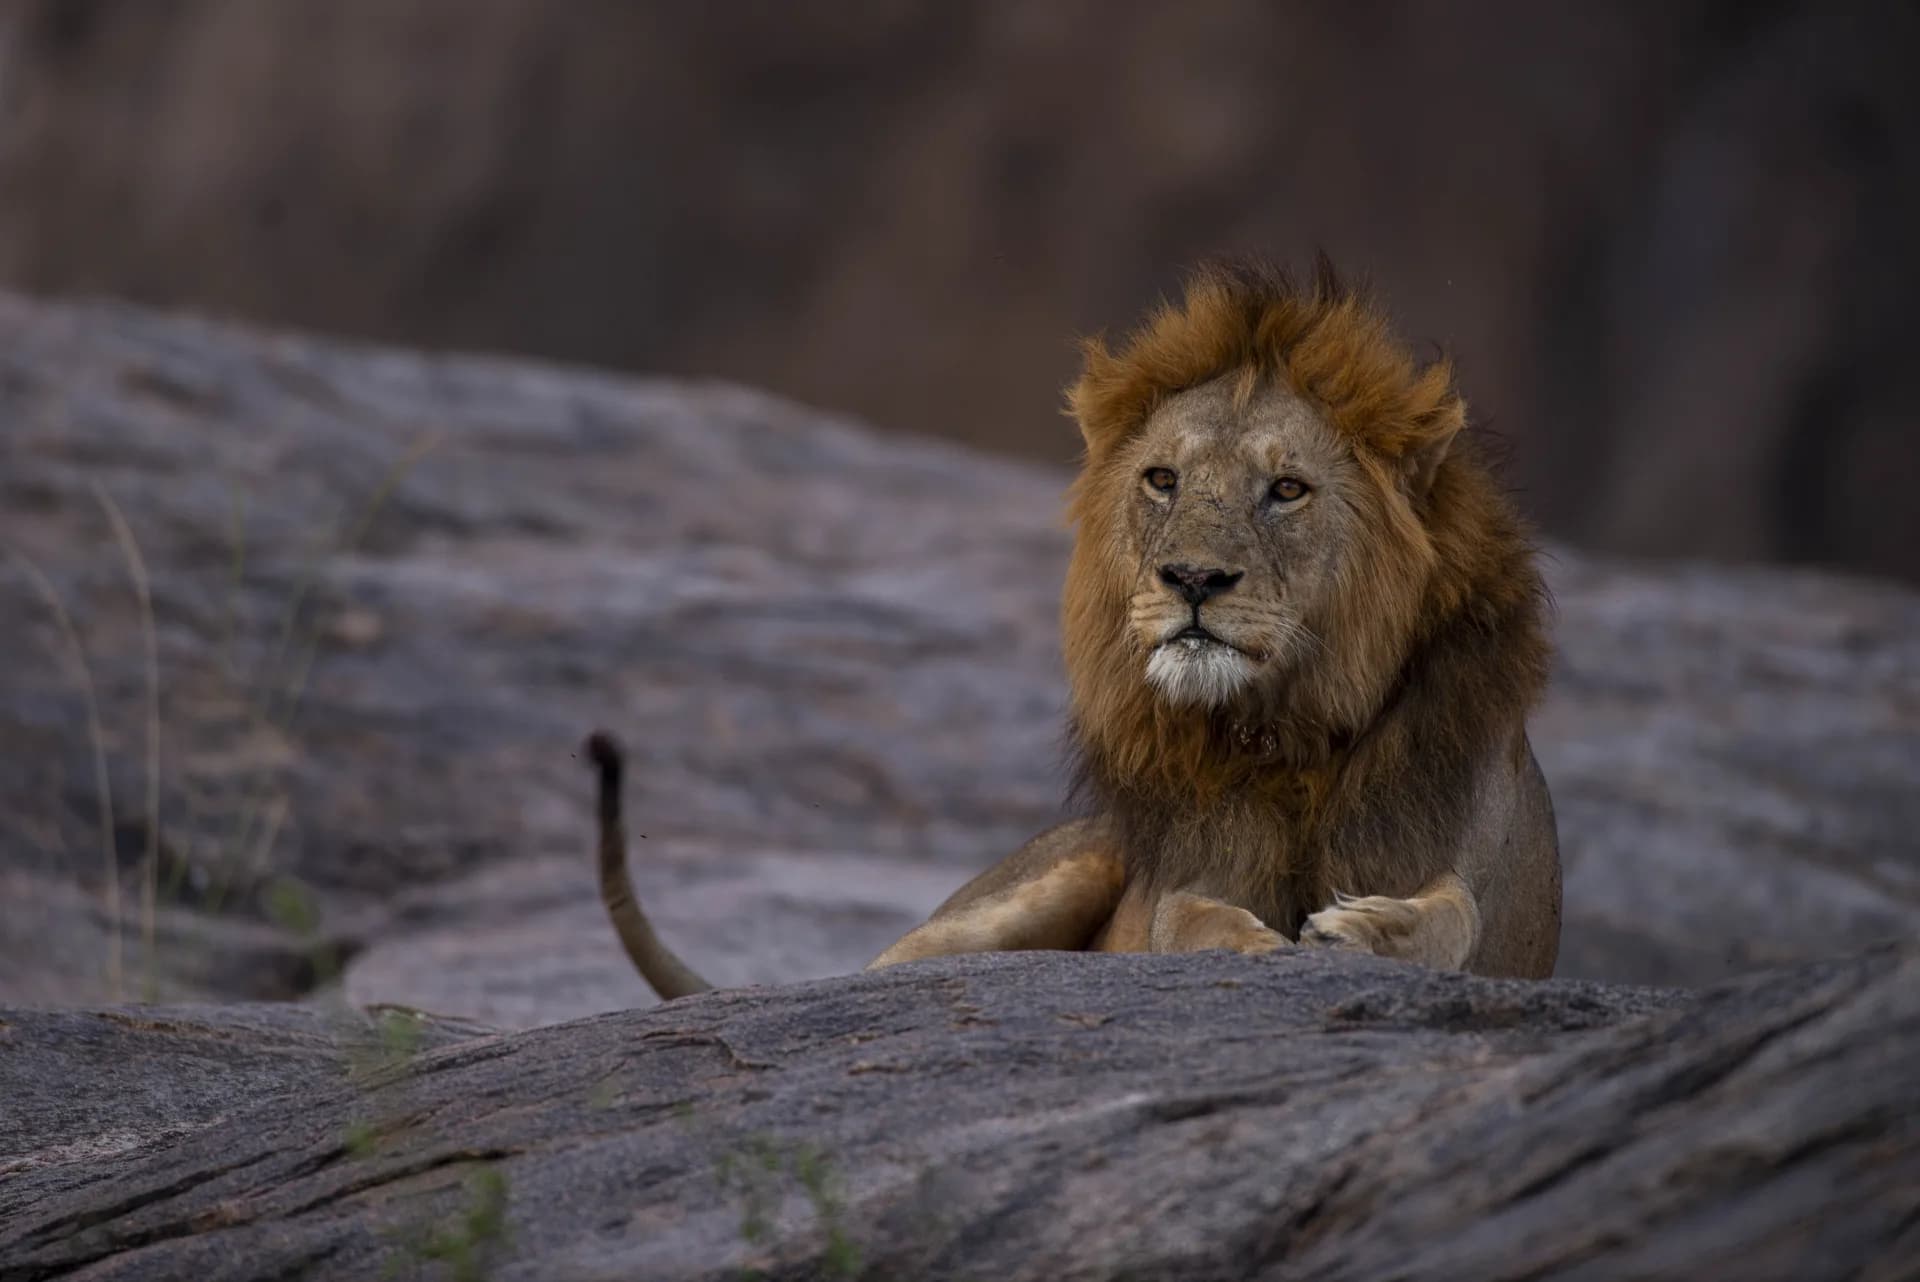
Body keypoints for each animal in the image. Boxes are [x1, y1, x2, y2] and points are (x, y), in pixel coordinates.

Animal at [589, 255, 1560, 998]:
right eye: (1163, 479)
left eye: (1288, 489)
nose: (1193, 579)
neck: (1289, 738)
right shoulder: (1187, 879)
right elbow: (1184, 917)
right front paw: (1259, 941)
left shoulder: (1477, 876)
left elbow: (1457, 914)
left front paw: (1356, 930)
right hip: (1050, 878)